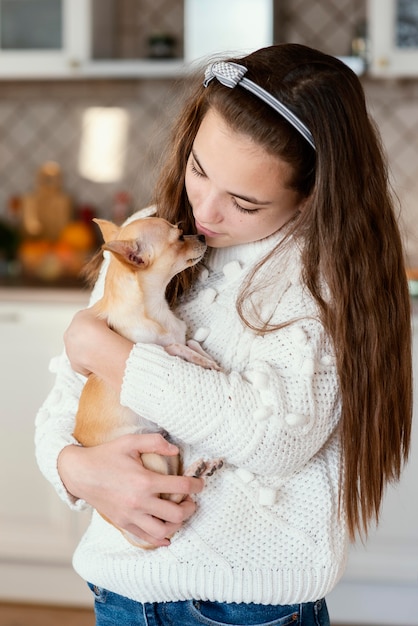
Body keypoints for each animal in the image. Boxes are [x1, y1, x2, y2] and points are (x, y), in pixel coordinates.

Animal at [72, 216, 222, 544]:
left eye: (182, 228)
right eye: (178, 238)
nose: (202, 236)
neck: (156, 311)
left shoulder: (181, 337)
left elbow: (191, 343)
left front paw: (210, 360)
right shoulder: (154, 348)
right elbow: (177, 349)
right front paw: (207, 364)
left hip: (168, 449)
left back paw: (201, 469)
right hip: (152, 453)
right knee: (170, 501)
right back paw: (196, 471)